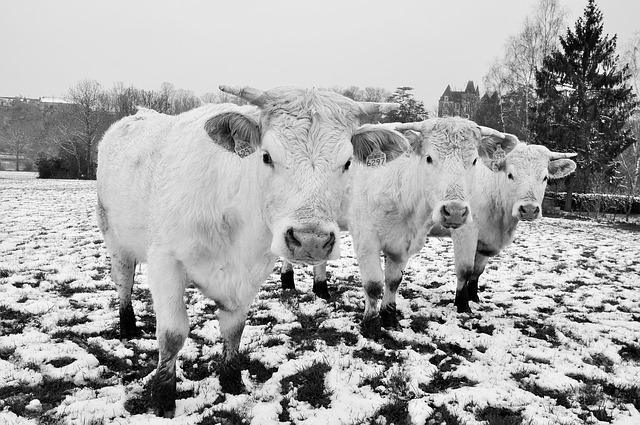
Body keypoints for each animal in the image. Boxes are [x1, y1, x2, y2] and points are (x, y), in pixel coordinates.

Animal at [95, 85, 408, 414]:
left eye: (347, 163)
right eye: (266, 156)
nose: (310, 240)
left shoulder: (250, 273)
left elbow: (234, 328)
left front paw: (231, 381)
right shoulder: (165, 264)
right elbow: (172, 334)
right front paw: (164, 397)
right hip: (115, 240)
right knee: (124, 282)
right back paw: (127, 326)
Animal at [448, 142, 576, 312]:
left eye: (545, 177)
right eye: (510, 175)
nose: (529, 209)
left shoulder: (486, 241)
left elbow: (477, 271)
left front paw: (474, 298)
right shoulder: (465, 232)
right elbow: (465, 269)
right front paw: (462, 306)